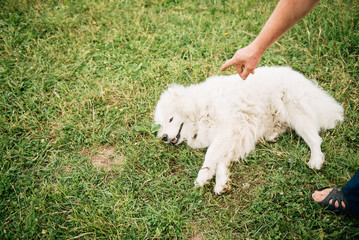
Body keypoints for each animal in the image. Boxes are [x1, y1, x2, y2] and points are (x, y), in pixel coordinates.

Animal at [155, 66, 346, 194]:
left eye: (171, 119)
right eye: (162, 124)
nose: (163, 137)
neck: (199, 108)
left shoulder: (228, 130)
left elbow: (211, 156)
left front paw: (202, 178)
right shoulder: (235, 136)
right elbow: (221, 161)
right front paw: (221, 183)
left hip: (297, 113)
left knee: (315, 139)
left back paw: (316, 160)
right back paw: (272, 135)